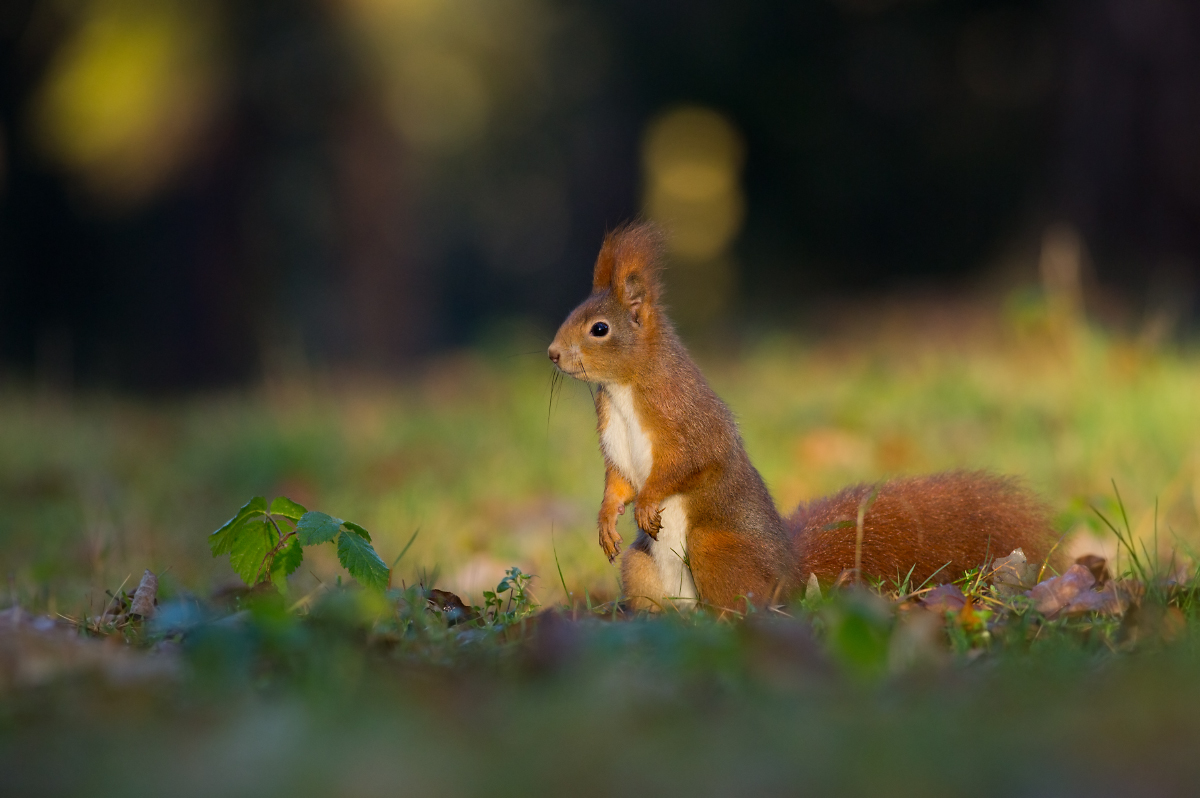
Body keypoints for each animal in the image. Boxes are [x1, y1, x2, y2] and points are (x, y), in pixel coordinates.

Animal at [549, 222, 1056, 609]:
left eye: (599, 329)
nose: (552, 354)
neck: (623, 390)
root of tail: (792, 577)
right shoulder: (614, 437)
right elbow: (618, 480)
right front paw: (607, 518)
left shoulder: (685, 416)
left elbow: (689, 461)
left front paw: (649, 501)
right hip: (643, 568)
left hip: (715, 550)